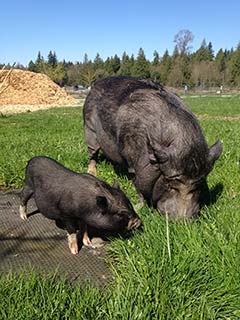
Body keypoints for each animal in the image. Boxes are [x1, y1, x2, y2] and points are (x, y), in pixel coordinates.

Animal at [83, 76, 222, 219]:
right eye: (170, 186)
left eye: (198, 186)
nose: (182, 220)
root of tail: (96, 84)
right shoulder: (134, 161)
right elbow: (139, 187)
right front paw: (138, 208)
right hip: (89, 128)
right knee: (92, 153)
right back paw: (92, 172)